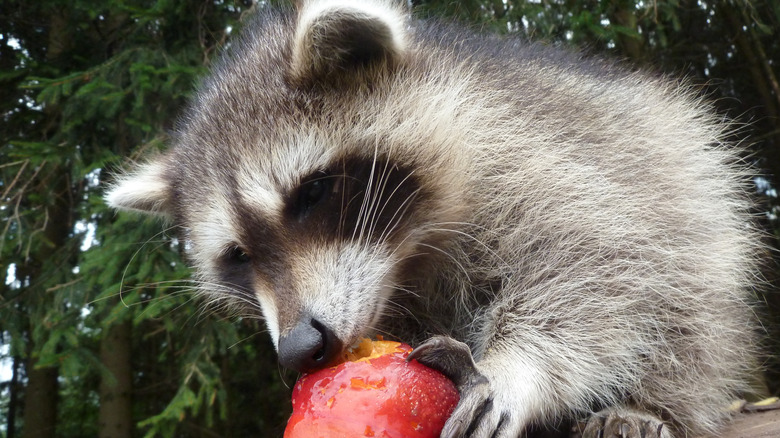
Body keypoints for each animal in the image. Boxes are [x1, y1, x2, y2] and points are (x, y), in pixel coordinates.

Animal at [105, 0, 762, 437]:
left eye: (312, 193)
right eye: (238, 255)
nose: (298, 349)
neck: (405, 253)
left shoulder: (541, 162)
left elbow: (599, 264)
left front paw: (516, 368)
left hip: (690, 191)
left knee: (691, 308)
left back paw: (654, 404)